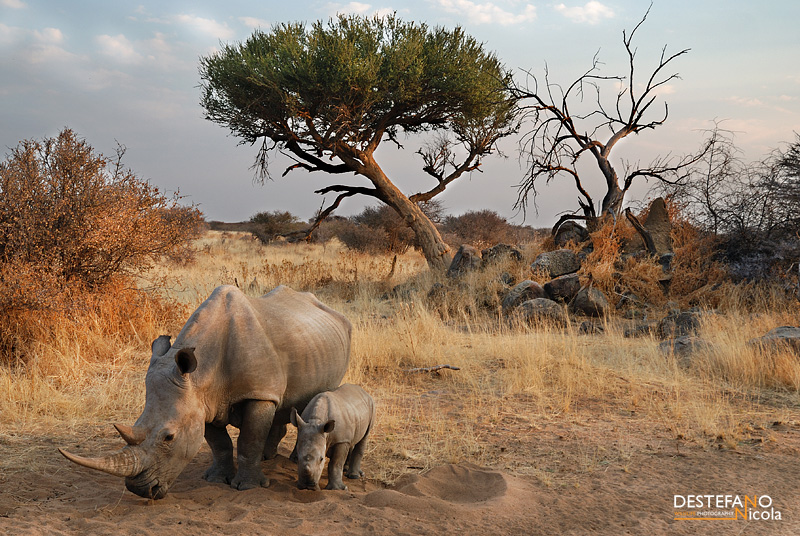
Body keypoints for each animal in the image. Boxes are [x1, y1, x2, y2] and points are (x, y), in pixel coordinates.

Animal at [57, 284, 352, 498]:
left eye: (169, 437)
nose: (140, 491)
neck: (201, 375)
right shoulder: (201, 400)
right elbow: (218, 442)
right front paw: (216, 479)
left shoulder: (258, 393)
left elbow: (249, 439)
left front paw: (247, 487)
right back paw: (269, 457)